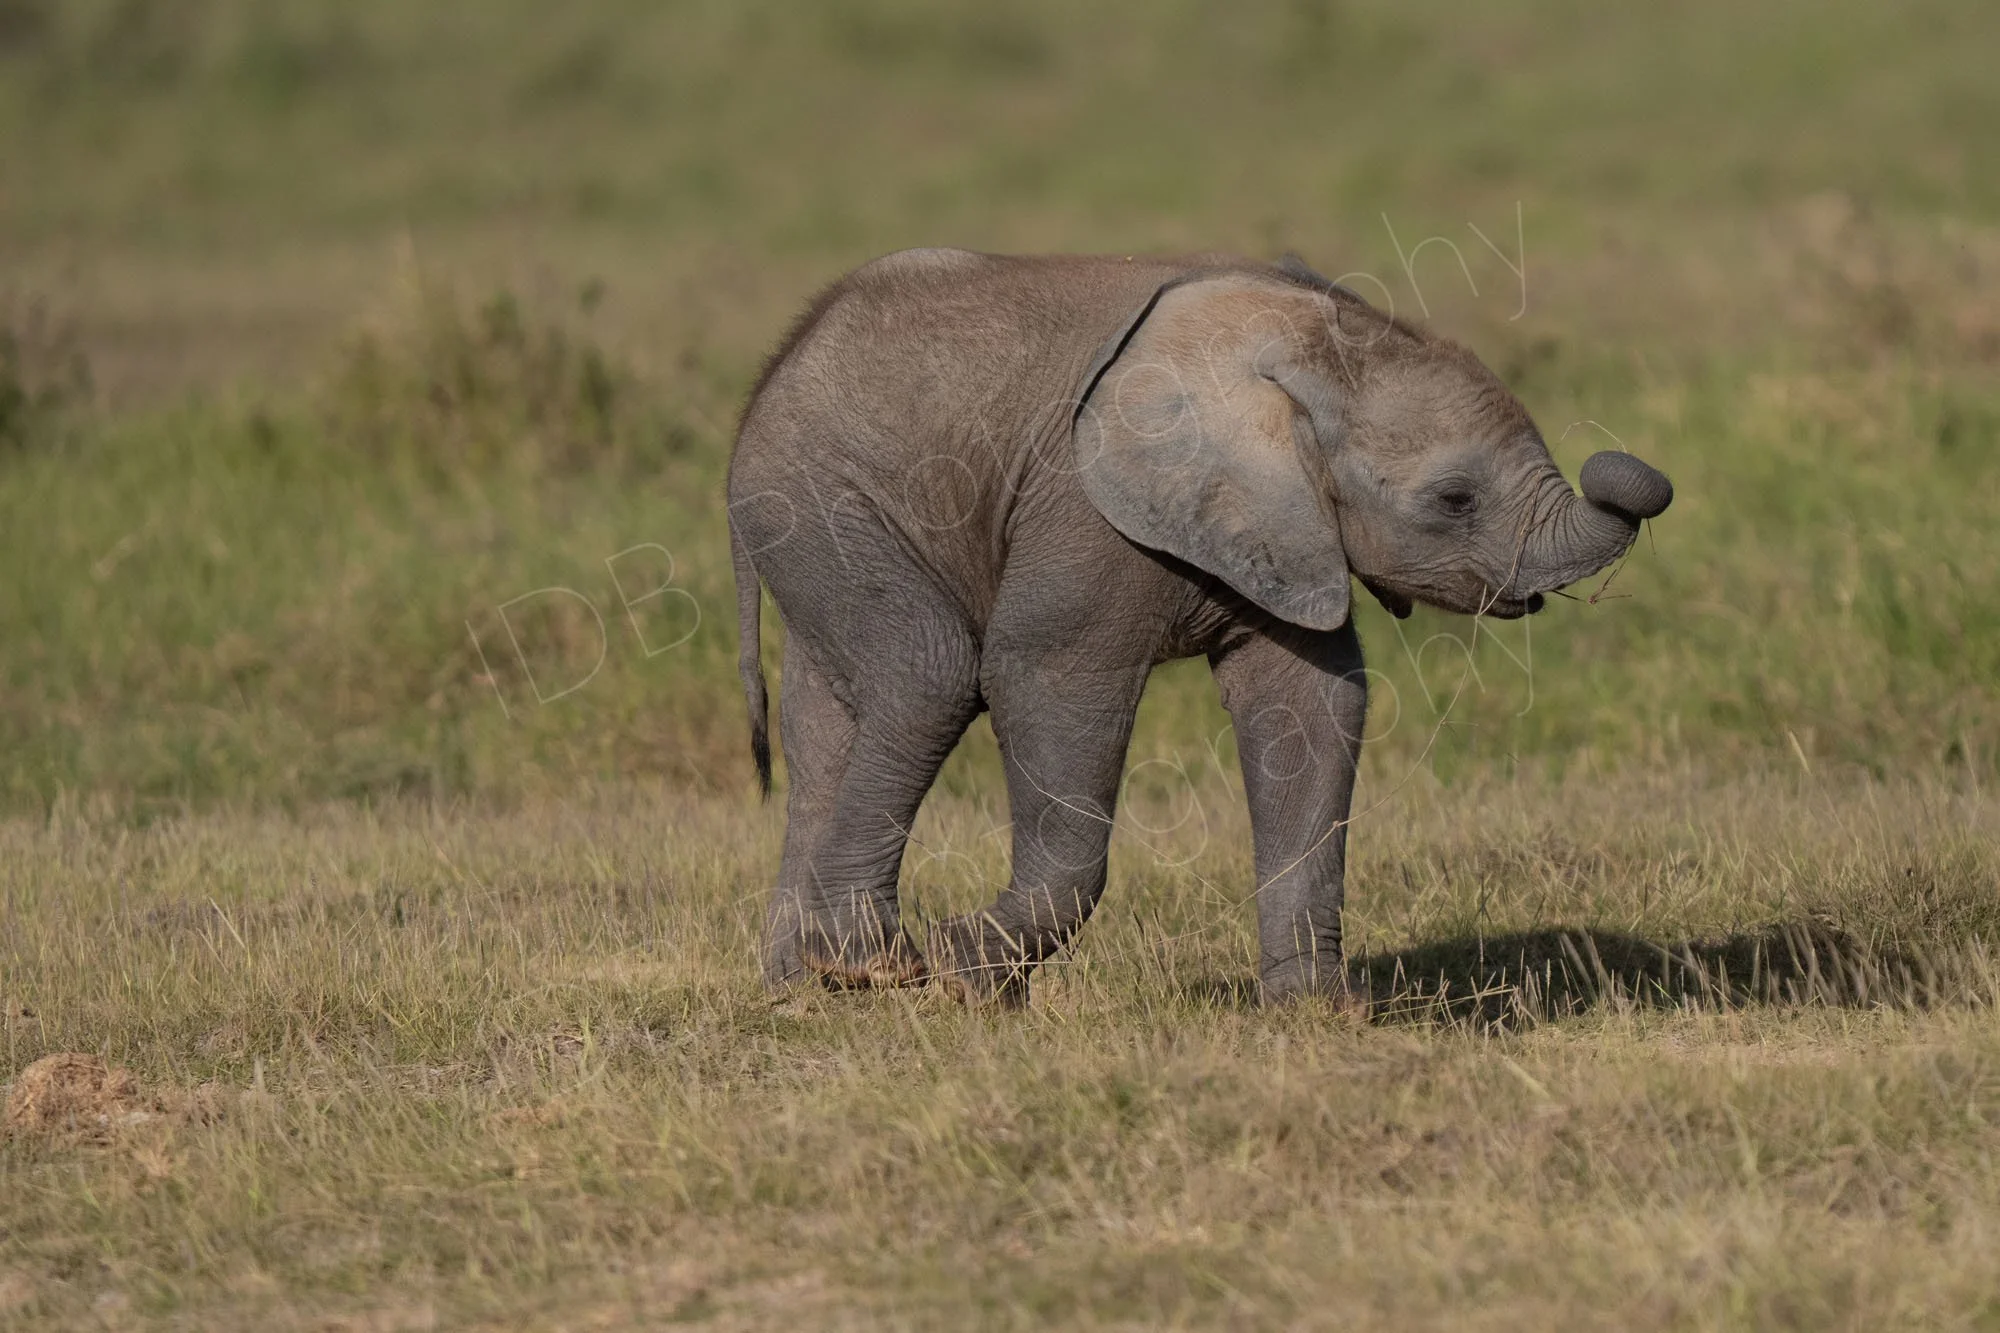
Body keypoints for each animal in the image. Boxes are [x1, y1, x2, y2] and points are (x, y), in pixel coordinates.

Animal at [726, 248, 1671, 1007]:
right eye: (1455, 499)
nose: (1632, 473)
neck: (1298, 345)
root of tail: (775, 367)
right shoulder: (1086, 514)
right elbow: (1042, 675)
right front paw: (966, 973)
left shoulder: (1284, 523)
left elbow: (1311, 706)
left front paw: (1319, 1014)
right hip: (815, 492)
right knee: (927, 672)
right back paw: (869, 966)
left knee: (827, 727)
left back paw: (804, 991)